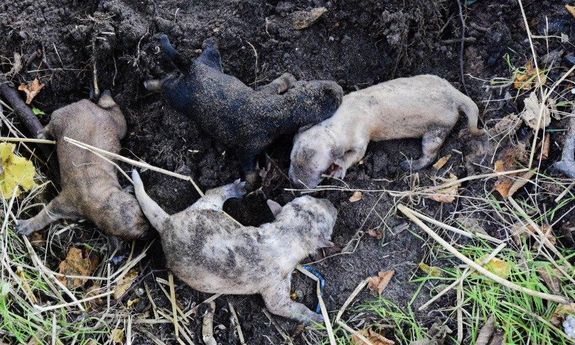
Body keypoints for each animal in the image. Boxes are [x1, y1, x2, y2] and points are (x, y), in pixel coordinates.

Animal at [16, 92, 151, 241]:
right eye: (140, 235)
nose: (149, 229)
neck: (102, 200)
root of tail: (89, 105)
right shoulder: (63, 204)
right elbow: (46, 214)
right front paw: (27, 225)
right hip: (61, 119)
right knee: (51, 126)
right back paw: (43, 134)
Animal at [130, 169, 338, 322]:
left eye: (311, 199)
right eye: (331, 219)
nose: (332, 203)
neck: (287, 233)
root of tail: (167, 223)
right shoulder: (276, 282)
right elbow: (281, 306)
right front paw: (315, 318)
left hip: (202, 209)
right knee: (211, 194)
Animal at [146, 34, 344, 185]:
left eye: (318, 84)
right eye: (332, 103)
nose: (339, 89)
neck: (280, 109)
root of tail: (192, 69)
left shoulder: (266, 91)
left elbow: (277, 83)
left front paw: (287, 78)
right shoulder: (248, 149)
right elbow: (249, 171)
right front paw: (252, 184)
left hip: (205, 66)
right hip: (177, 95)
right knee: (166, 83)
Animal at [290, 74, 484, 187]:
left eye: (318, 170)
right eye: (291, 160)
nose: (295, 183)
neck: (336, 124)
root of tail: (456, 95)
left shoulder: (361, 136)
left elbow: (356, 155)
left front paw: (339, 167)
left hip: (437, 128)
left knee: (430, 153)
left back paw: (410, 164)